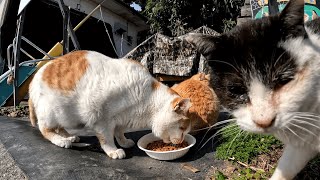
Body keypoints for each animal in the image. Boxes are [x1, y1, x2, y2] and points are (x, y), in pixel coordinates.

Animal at [28, 50, 190, 159]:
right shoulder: (101, 119)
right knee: (45, 130)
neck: (145, 98)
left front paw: (123, 142)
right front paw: (113, 150)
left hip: (65, 117)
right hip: (52, 112)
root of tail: (34, 79)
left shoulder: (122, 119)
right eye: (182, 129)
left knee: (60, 127)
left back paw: (70, 137)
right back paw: (62, 141)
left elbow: (119, 132)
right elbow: (106, 138)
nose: (182, 140)